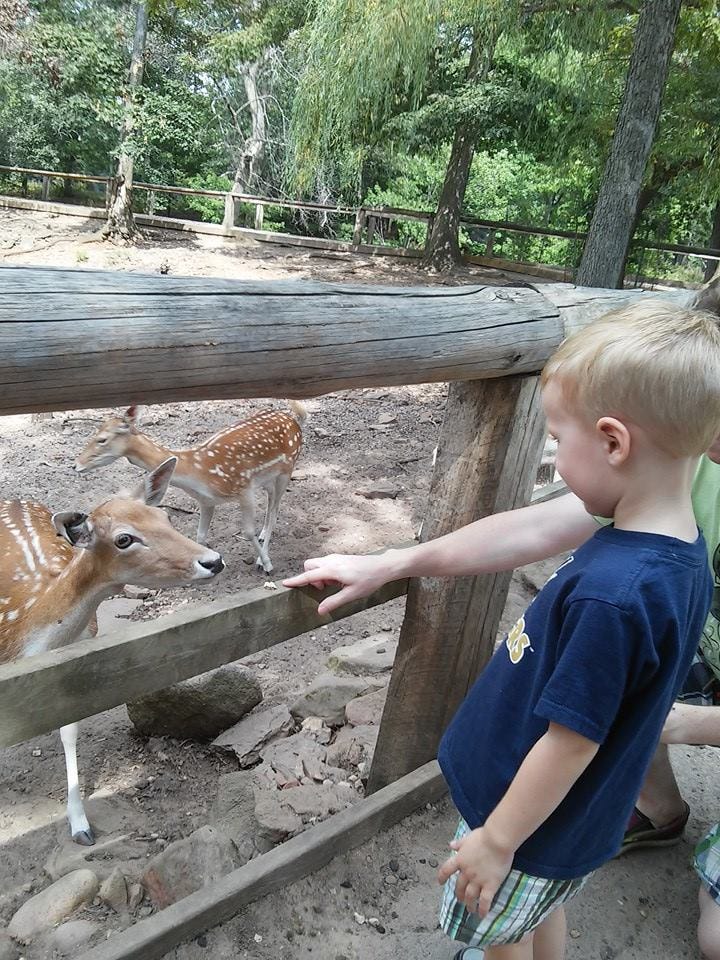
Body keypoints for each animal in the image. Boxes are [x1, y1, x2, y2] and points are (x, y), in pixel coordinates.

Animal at [0, 458, 224, 845]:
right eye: (124, 539)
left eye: (165, 515)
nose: (213, 561)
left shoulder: (75, 658)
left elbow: (69, 729)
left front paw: (80, 825)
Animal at [75, 402, 307, 574]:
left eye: (102, 439)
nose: (76, 465)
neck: (197, 471)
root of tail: (294, 420)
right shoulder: (206, 501)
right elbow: (201, 535)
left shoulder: (243, 488)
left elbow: (247, 531)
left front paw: (267, 564)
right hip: (268, 478)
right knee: (271, 504)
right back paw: (263, 534)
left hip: (287, 469)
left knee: (275, 510)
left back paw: (262, 558)